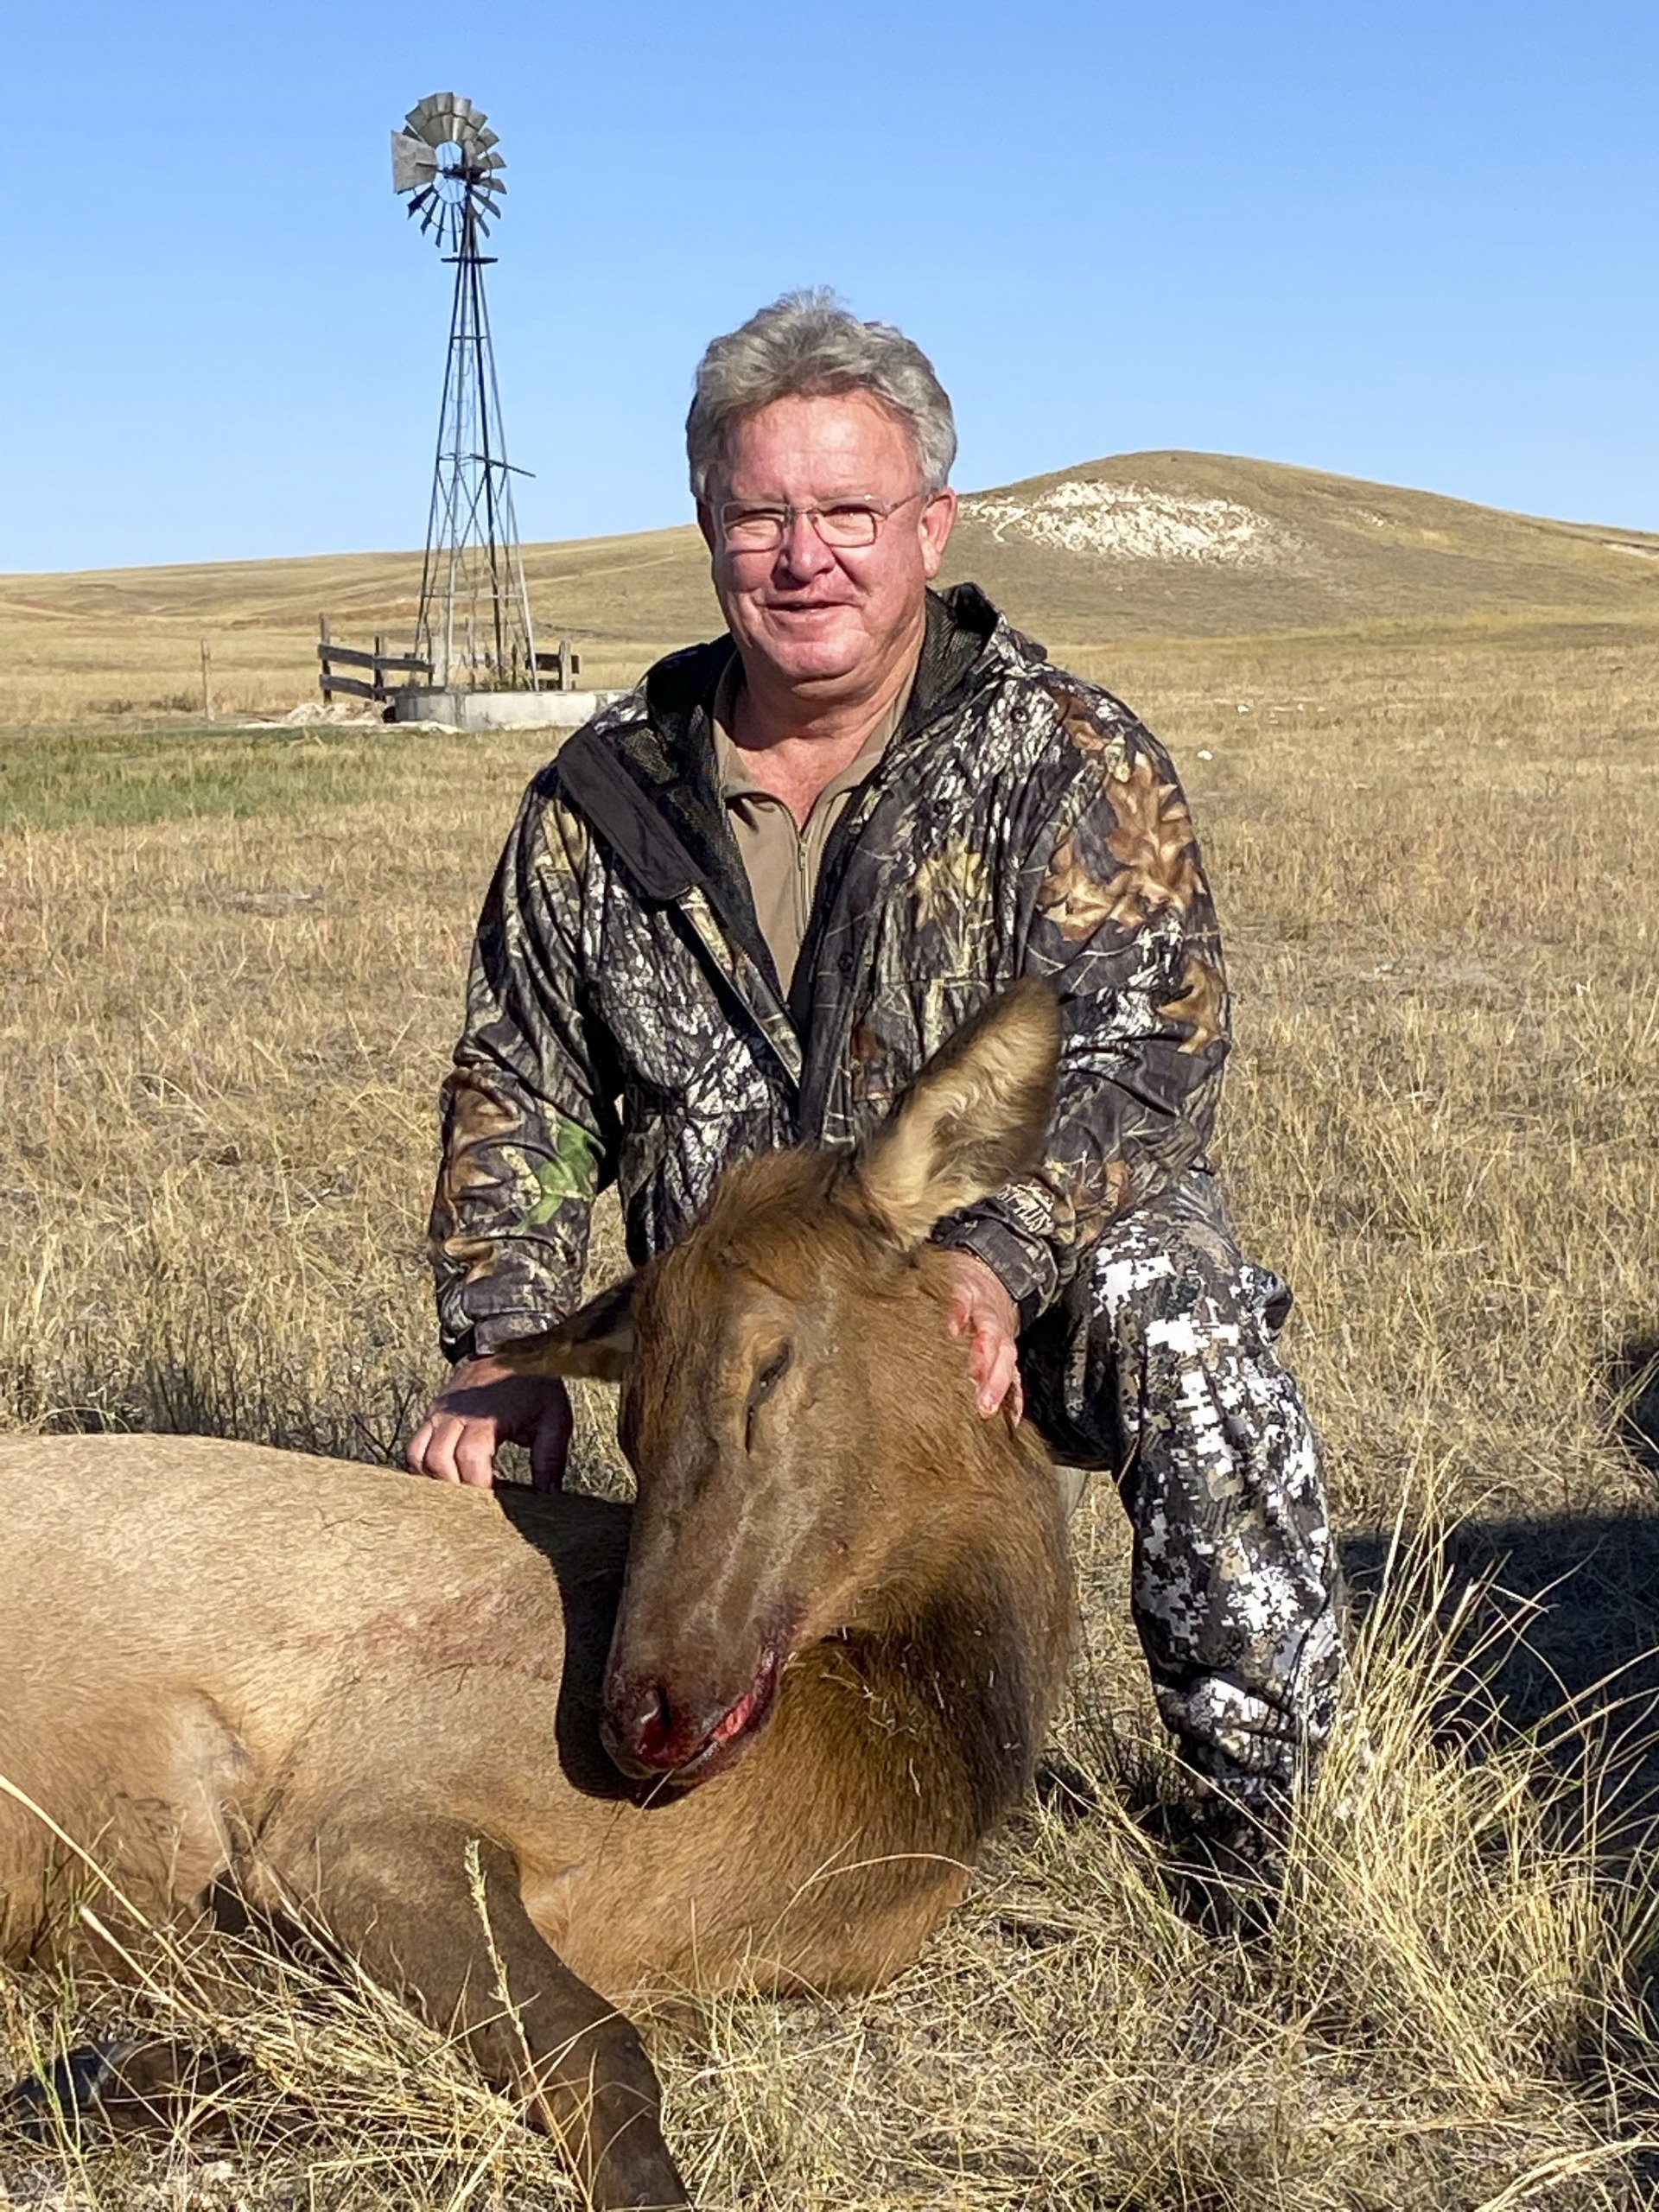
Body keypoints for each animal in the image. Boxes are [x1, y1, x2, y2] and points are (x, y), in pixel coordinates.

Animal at [0, 983, 1075, 2210]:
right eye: (631, 1411)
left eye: (768, 1366)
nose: (642, 1711)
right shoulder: (349, 1814)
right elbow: (603, 2049)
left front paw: (99, 2074)